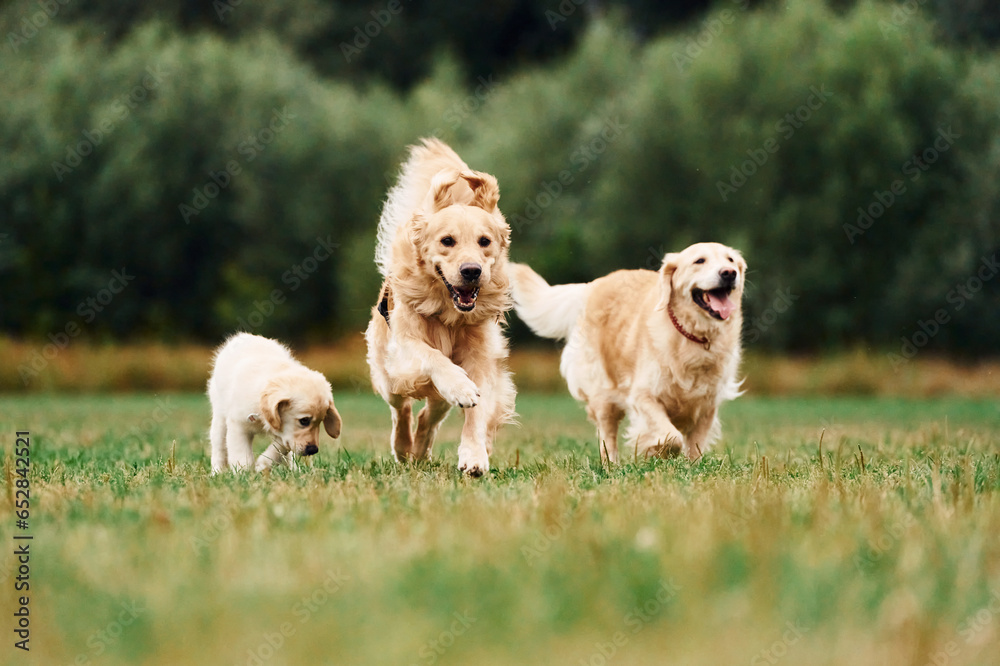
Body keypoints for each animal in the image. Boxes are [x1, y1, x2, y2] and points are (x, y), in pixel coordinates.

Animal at [206, 332, 340, 472]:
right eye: (304, 421)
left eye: (321, 421)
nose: (313, 450)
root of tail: (245, 336)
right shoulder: (238, 425)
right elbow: (242, 456)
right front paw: (244, 473)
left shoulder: (283, 431)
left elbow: (280, 448)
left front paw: (263, 463)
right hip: (219, 418)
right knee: (219, 448)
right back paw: (217, 471)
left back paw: (293, 470)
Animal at [366, 137, 516, 474]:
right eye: (447, 241)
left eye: (485, 241)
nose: (472, 271)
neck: (449, 313)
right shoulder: (405, 346)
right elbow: (433, 356)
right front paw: (459, 386)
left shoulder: (481, 359)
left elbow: (477, 410)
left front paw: (474, 455)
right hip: (388, 377)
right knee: (401, 410)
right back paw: (403, 448)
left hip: (432, 398)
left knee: (429, 415)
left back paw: (421, 449)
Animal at [512, 243, 748, 462]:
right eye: (699, 261)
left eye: (730, 260)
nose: (729, 273)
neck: (694, 336)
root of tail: (592, 286)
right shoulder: (643, 396)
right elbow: (672, 437)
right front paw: (657, 451)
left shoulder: (708, 405)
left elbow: (695, 447)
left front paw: (690, 466)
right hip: (602, 393)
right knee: (607, 436)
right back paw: (611, 466)